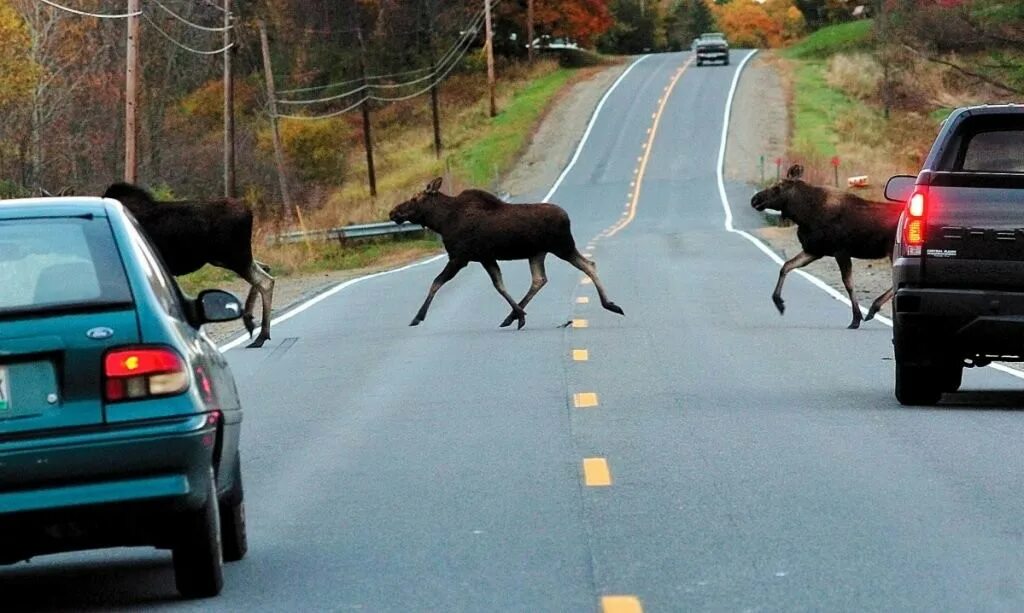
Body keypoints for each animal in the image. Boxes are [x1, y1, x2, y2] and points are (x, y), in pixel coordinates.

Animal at [102, 182, 276, 347]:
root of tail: (249, 212)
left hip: (234, 257)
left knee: (265, 280)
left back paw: (260, 335)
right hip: (226, 258)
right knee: (265, 269)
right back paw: (252, 323)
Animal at [389, 177, 622, 331]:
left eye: (415, 198)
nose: (393, 212)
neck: (441, 222)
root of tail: (567, 217)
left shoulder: (460, 257)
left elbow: (436, 282)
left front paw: (418, 317)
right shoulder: (486, 257)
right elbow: (499, 285)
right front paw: (520, 315)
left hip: (562, 246)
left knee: (588, 265)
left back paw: (610, 304)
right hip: (538, 252)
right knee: (540, 279)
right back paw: (512, 316)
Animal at [749, 161, 901, 325]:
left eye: (777, 187)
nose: (754, 199)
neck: (804, 215)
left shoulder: (841, 251)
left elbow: (848, 283)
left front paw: (856, 318)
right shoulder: (814, 250)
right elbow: (786, 266)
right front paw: (779, 302)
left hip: (893, 252)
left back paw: (874, 307)